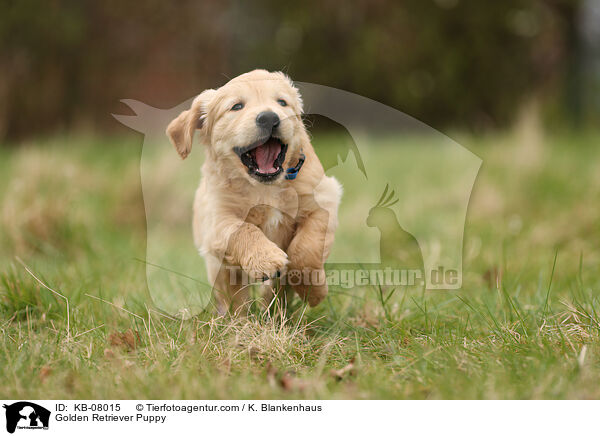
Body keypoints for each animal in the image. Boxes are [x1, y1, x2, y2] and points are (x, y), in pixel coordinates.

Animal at [164, 69, 342, 314]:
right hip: (219, 269)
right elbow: (244, 230)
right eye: (236, 106)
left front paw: (312, 292)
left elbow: (305, 250)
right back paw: (238, 319)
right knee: (234, 297)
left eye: (282, 102)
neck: (265, 188)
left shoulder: (324, 199)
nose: (269, 117)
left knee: (274, 293)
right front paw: (266, 259)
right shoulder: (217, 220)